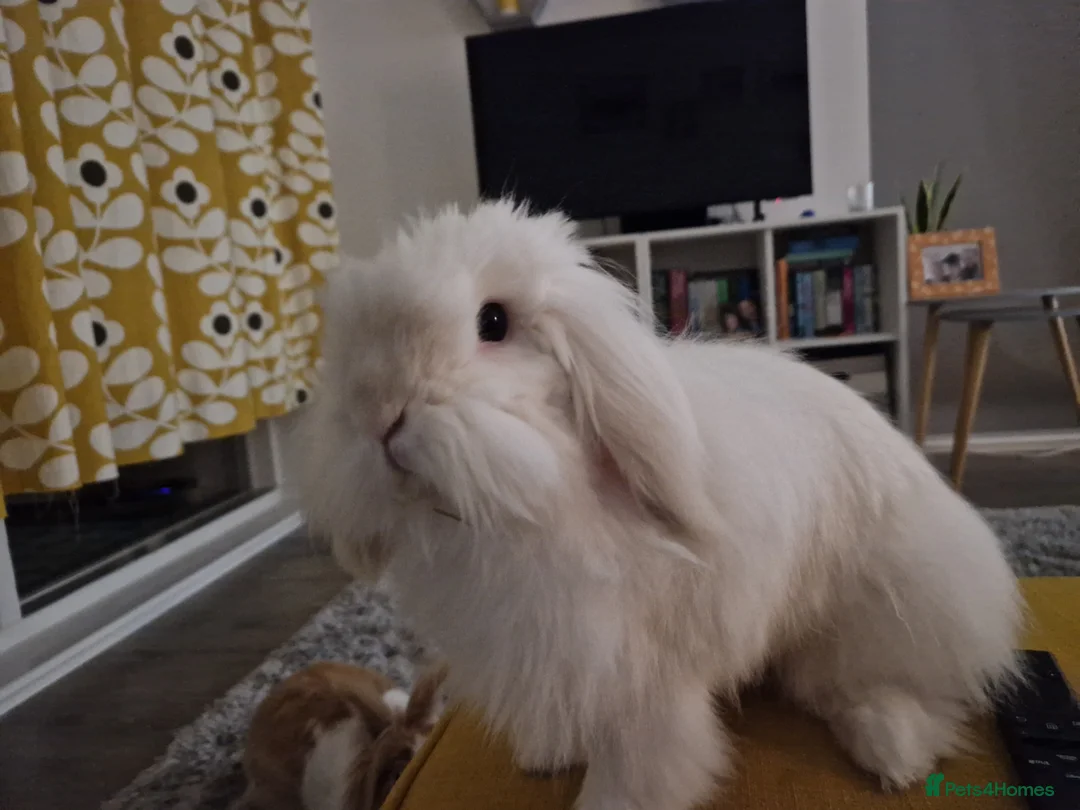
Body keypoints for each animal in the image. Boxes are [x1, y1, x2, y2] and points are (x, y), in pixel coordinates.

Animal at [290, 199, 1024, 810]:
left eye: (492, 322)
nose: (378, 413)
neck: (533, 497)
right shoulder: (554, 657)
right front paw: (545, 754)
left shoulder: (643, 677)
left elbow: (644, 762)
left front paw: (609, 804)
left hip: (883, 613)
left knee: (897, 690)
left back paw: (891, 752)